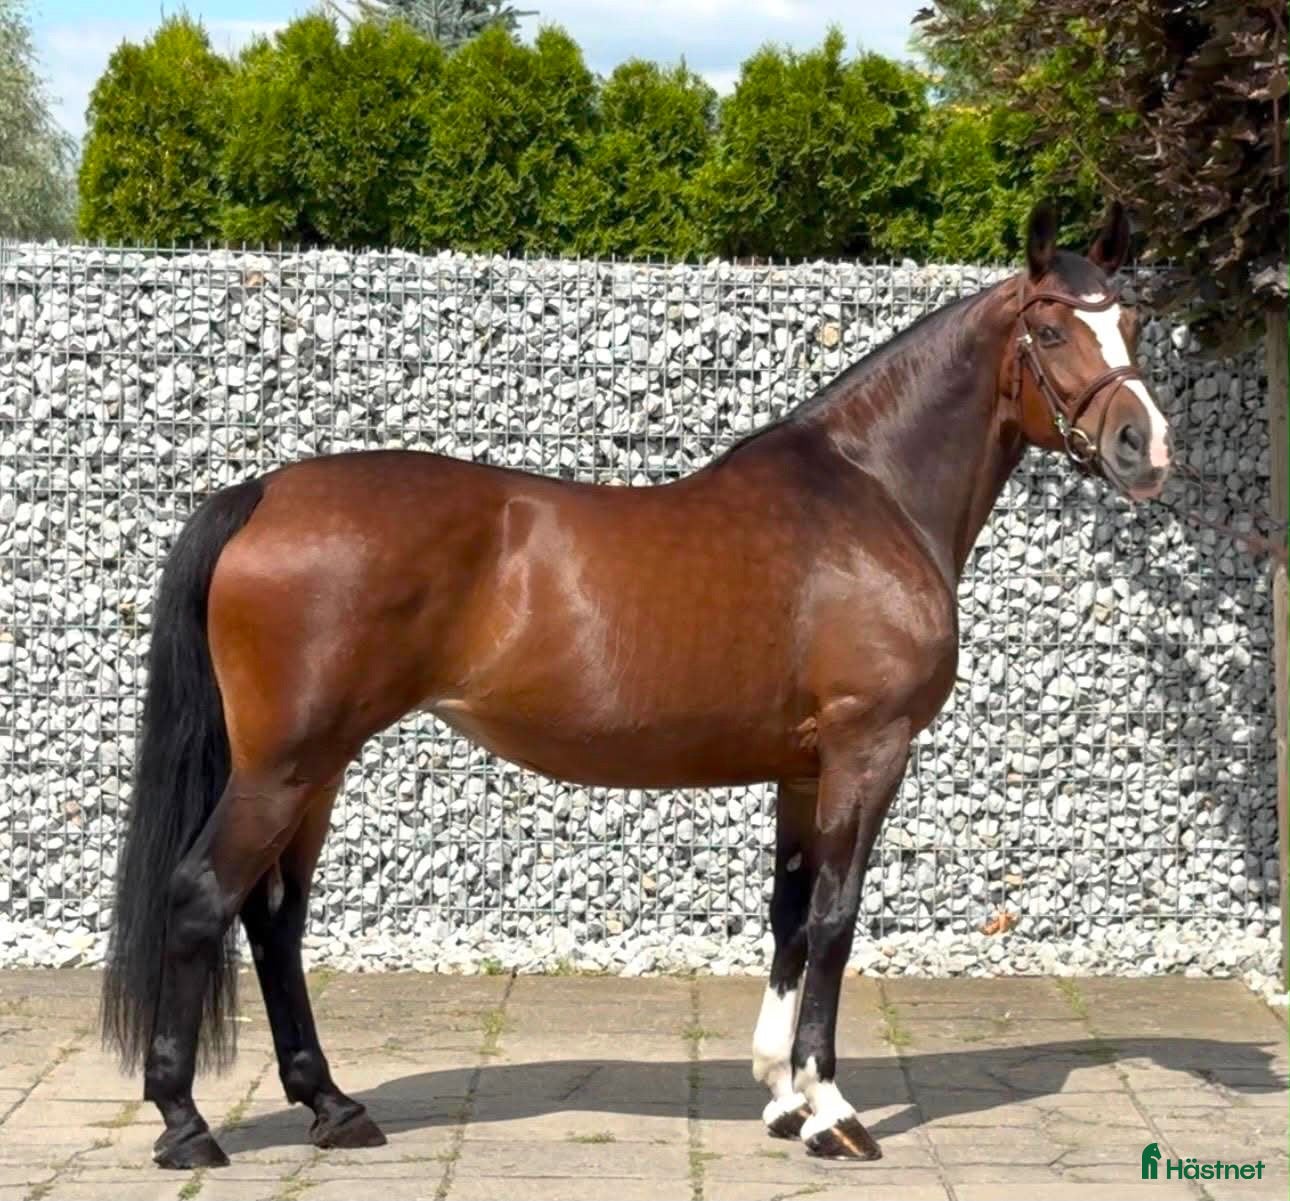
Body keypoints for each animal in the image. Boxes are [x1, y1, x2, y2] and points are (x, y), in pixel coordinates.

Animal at [100, 200, 1174, 1169]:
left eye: (1131, 322)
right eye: (1049, 329)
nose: (1145, 449)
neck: (870, 494)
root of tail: (263, 493)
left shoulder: (803, 768)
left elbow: (790, 913)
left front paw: (780, 1096)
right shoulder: (869, 750)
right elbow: (836, 919)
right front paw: (832, 1113)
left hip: (314, 770)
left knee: (275, 920)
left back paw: (332, 1105)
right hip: (282, 766)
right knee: (201, 897)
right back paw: (186, 1124)